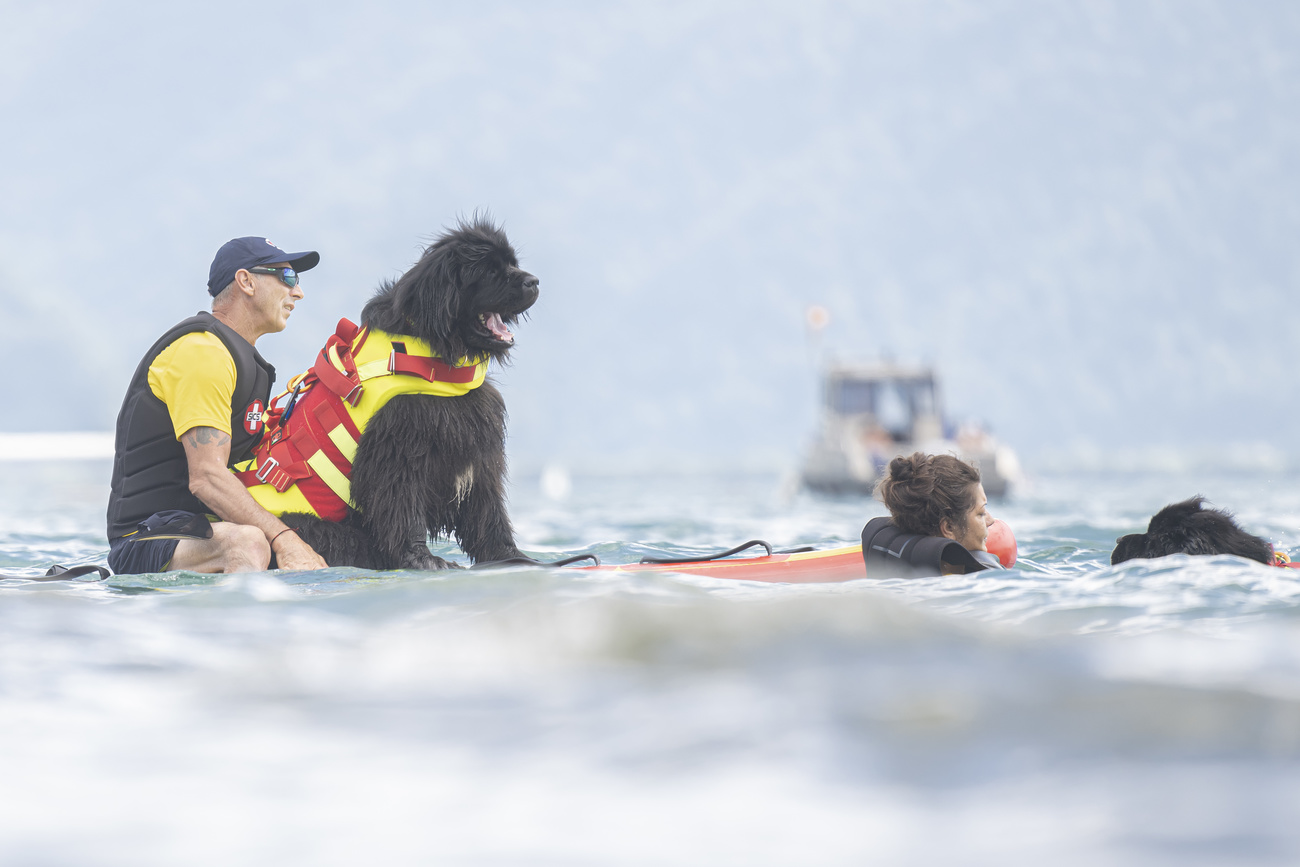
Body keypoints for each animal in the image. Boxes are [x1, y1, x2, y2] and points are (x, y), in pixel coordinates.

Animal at [279, 217, 538, 569]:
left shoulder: (477, 448)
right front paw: (423, 559)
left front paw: (510, 556)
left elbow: (487, 509)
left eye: (513, 263)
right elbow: (402, 506)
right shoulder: (399, 445)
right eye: (488, 271)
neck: (436, 351)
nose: (534, 281)